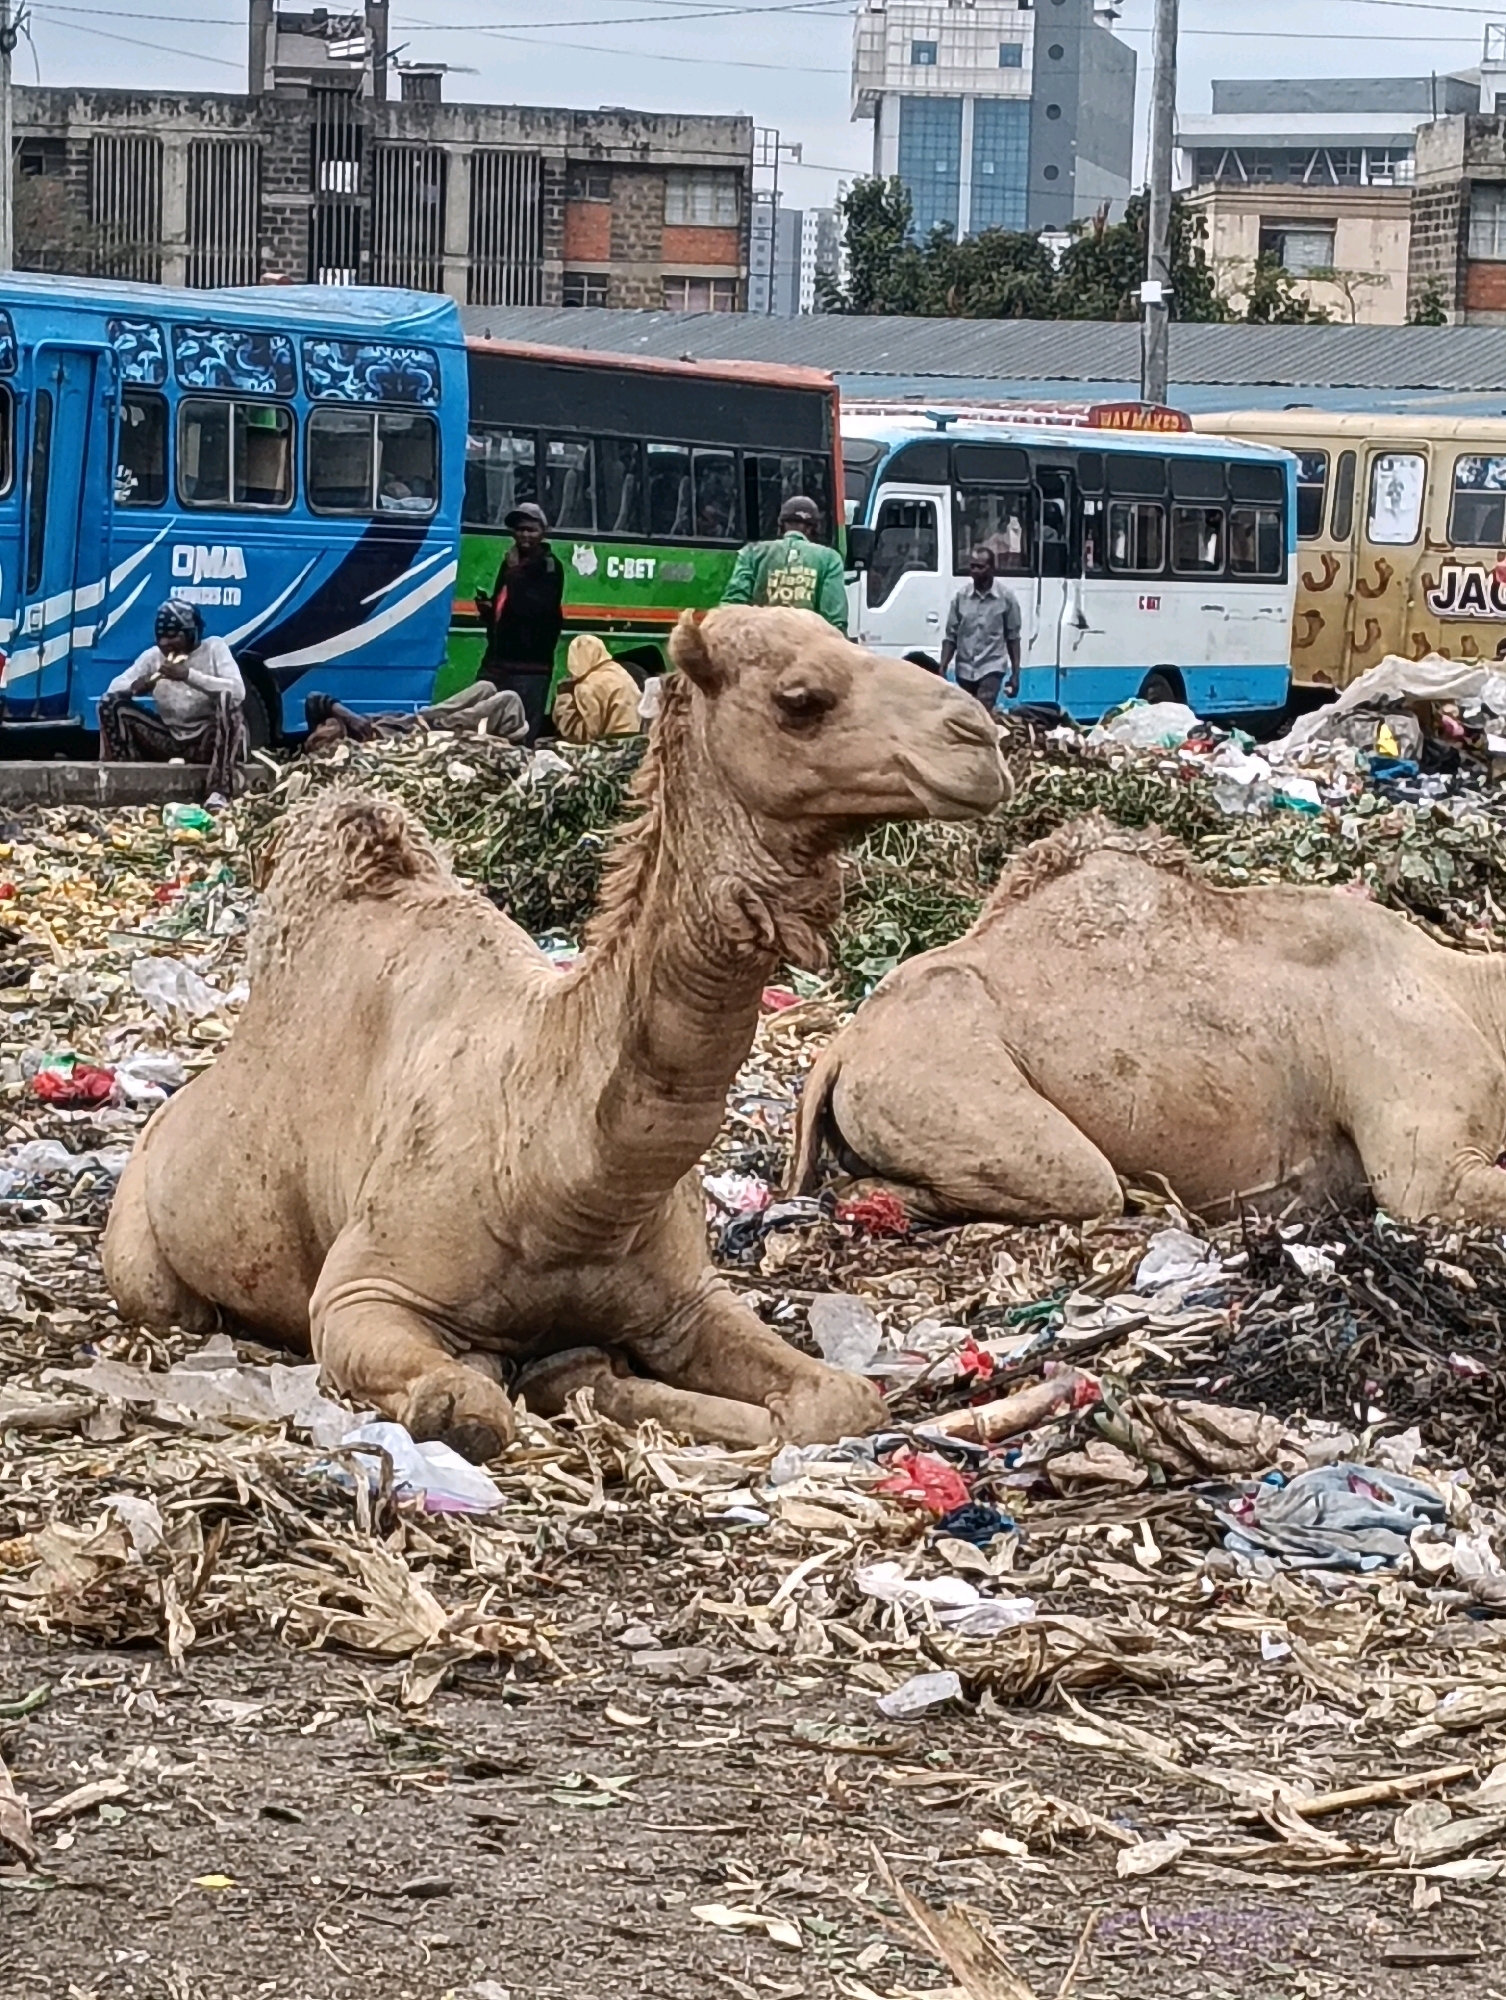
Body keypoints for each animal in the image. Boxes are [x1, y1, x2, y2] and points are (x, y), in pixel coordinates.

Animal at [103, 609, 1004, 1459]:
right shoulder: (361, 1295)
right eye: (801, 698)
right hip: (143, 1252)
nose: (981, 740)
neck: (551, 1165)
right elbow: (462, 1406)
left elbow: (841, 1402)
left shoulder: (688, 1298)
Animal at [790, 815, 1506, 1228]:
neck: (1471, 992)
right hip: (946, 1090)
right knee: (1081, 1180)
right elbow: (1429, 1193)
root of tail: (842, 1048)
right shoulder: (1427, 1151)